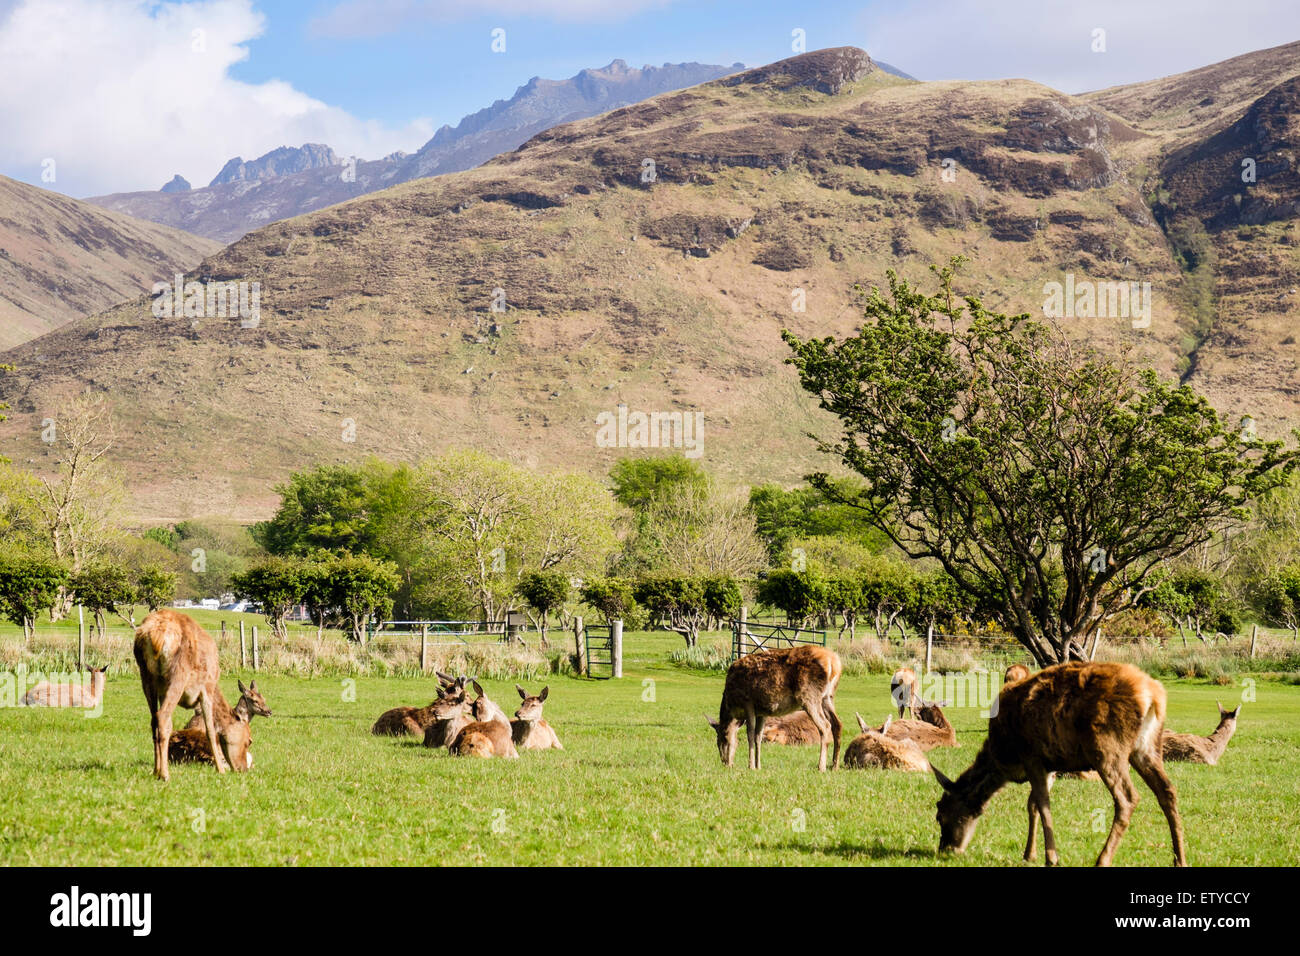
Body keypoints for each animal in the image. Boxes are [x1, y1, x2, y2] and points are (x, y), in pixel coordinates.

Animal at [131, 608, 228, 780]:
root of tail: (155, 635)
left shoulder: (162, 692)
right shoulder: (207, 689)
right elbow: (210, 729)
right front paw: (220, 769)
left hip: (147, 676)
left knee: (154, 719)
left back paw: (156, 770)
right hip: (178, 674)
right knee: (162, 716)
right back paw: (165, 775)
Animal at [702, 642, 842, 770]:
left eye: (723, 738)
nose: (726, 763)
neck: (731, 704)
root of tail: (834, 663)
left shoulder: (748, 702)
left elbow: (750, 734)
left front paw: (751, 766)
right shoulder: (762, 711)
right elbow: (758, 736)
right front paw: (758, 766)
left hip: (809, 694)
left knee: (825, 726)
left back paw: (821, 767)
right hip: (827, 696)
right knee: (837, 724)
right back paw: (834, 766)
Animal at [930, 665, 1185, 868]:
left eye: (940, 813)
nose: (946, 849)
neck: (1003, 758)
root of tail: (1153, 696)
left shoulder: (1031, 756)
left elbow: (1043, 805)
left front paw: (1050, 858)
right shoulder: (1049, 764)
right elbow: (1033, 804)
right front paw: (1029, 854)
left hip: (1106, 747)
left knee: (1128, 798)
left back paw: (1102, 859)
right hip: (1147, 747)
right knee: (1168, 791)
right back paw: (1179, 859)